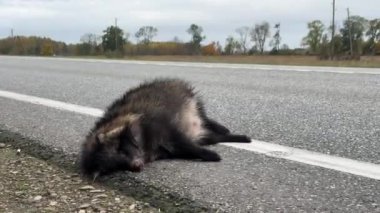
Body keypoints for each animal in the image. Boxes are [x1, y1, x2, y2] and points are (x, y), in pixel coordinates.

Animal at [81, 78, 252, 176]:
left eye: (119, 149)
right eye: (114, 166)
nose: (137, 166)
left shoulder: (161, 125)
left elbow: (183, 142)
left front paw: (210, 154)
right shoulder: (162, 149)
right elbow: (183, 148)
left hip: (189, 100)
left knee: (205, 117)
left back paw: (225, 129)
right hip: (199, 131)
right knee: (212, 137)